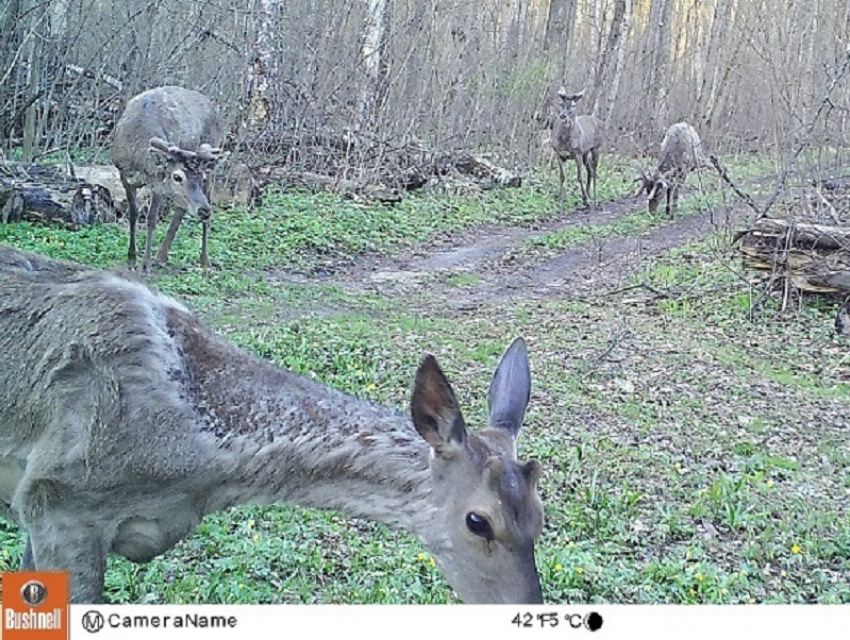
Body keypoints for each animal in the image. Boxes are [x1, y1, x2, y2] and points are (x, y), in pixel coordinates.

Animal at [113, 85, 225, 272]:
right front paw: (131, 258)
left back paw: (204, 260)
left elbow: (151, 219)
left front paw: (145, 265)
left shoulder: (158, 184)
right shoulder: (124, 176)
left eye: (200, 177)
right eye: (177, 177)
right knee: (181, 208)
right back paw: (161, 257)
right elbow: (133, 214)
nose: (203, 210)